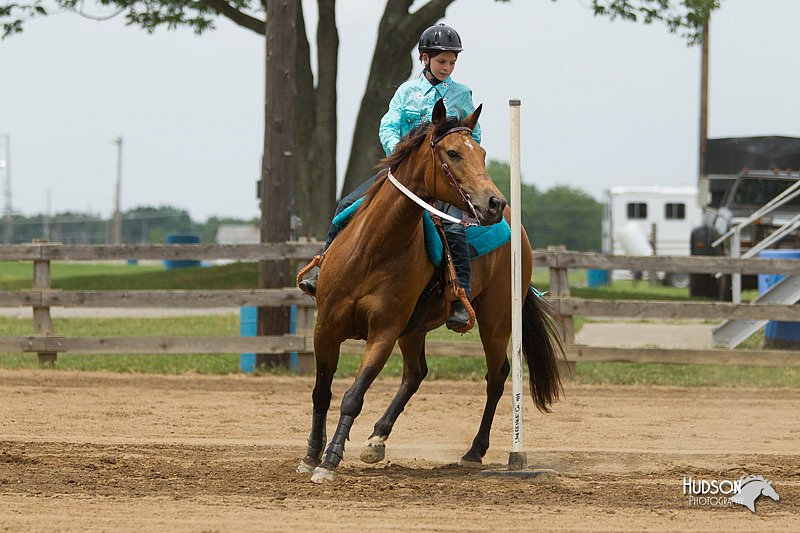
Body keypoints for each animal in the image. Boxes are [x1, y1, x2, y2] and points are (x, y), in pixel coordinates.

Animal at [294, 98, 564, 482]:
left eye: (481, 152)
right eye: (453, 153)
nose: (493, 203)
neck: (371, 250)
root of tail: (517, 230)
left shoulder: (384, 332)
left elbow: (353, 396)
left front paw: (330, 460)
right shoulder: (326, 328)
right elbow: (321, 393)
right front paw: (311, 455)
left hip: (496, 323)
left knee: (496, 376)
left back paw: (475, 451)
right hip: (415, 329)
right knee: (415, 373)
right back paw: (377, 440)